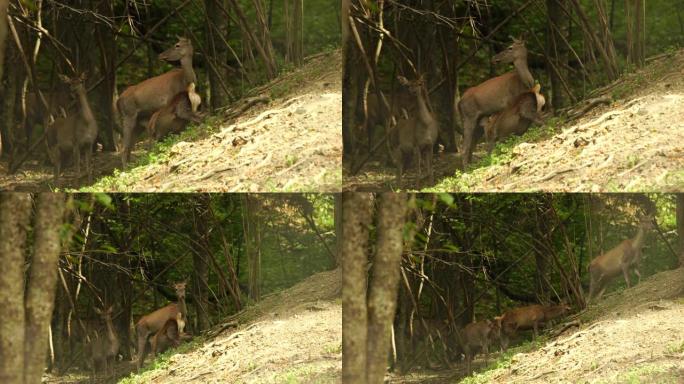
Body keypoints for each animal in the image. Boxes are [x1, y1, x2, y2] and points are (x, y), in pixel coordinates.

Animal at [117, 38, 198, 168]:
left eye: (177, 45)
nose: (161, 55)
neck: (184, 81)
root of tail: (117, 101)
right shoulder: (169, 101)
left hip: (139, 121)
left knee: (129, 144)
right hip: (128, 115)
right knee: (123, 144)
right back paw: (126, 168)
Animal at [454, 38, 536, 168]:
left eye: (510, 47)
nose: (494, 58)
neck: (525, 83)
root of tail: (459, 103)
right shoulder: (508, 103)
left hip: (479, 120)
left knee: (472, 144)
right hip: (468, 116)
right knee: (465, 146)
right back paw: (467, 169)